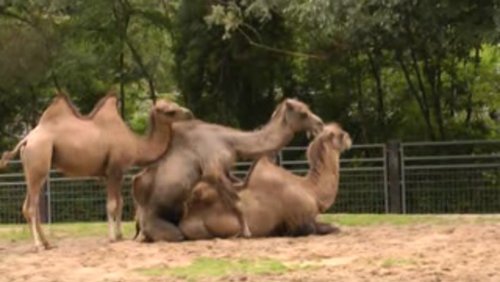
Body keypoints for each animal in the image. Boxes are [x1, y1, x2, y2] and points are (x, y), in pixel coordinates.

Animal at [0, 92, 193, 249]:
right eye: (170, 111)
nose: (190, 113)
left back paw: (48, 243)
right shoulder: (114, 169)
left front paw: (120, 236)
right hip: (39, 159)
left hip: (32, 168)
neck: (136, 144)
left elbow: (120, 203)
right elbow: (112, 204)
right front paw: (112, 238)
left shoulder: (114, 173)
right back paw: (38, 245)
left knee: (29, 205)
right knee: (31, 207)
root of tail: (26, 139)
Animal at [131, 98, 324, 241]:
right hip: (157, 222)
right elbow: (237, 201)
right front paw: (246, 232)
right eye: (303, 113)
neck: (229, 140)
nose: (320, 123)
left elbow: (237, 191)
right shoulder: (213, 167)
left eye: (307, 108)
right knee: (174, 234)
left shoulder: (225, 171)